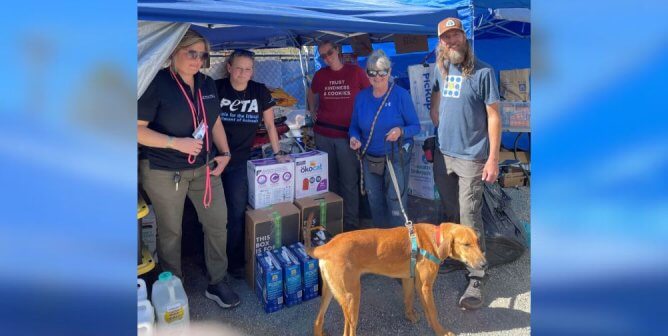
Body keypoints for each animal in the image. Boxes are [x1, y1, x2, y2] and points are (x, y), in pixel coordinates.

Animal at [304, 223, 486, 336]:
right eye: (466, 244)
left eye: (478, 242)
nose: (485, 264)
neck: (435, 239)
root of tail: (326, 246)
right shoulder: (425, 286)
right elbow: (433, 313)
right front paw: (441, 331)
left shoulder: (408, 279)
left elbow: (408, 299)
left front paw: (410, 316)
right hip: (352, 298)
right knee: (348, 331)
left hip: (330, 292)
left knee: (317, 320)